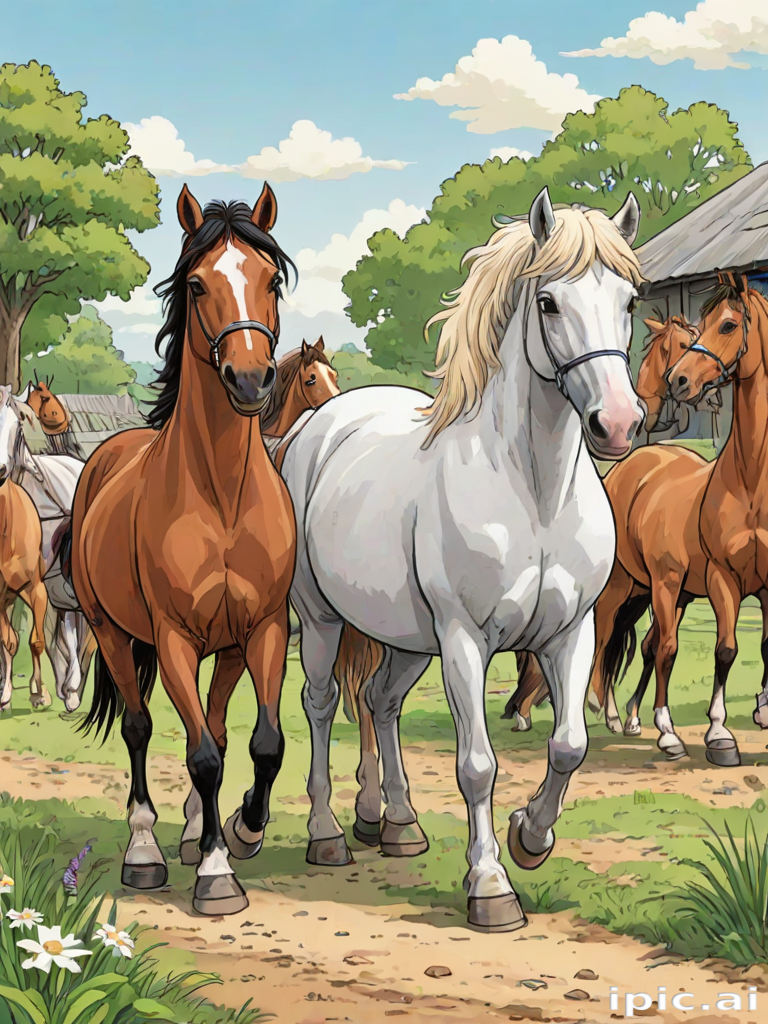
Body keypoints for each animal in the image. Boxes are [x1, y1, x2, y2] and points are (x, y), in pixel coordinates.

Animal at [0, 389, 95, 712]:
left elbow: (38, 639)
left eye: (18, 423)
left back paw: (73, 687)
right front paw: (7, 692)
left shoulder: (39, 585)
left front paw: (42, 691)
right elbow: (10, 640)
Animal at [72, 183, 297, 917]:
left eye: (270, 279)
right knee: (140, 727)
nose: (250, 379)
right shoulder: (169, 637)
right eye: (197, 284)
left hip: (222, 648)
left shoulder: (262, 630)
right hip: (111, 632)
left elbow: (261, 743)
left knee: (218, 727)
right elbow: (199, 756)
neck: (222, 495)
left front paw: (241, 832)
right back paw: (145, 851)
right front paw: (217, 878)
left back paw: (199, 832)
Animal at [263, 189, 645, 932]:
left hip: (409, 639)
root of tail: (318, 424)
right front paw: (491, 886)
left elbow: (569, 744)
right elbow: (477, 765)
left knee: (381, 702)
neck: (534, 494)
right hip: (322, 620)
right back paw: (328, 835)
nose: (617, 424)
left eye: (629, 301)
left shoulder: (570, 633)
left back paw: (398, 824)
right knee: (321, 704)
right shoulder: (465, 641)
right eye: (548, 303)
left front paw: (530, 838)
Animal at [583, 274, 768, 765]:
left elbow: (762, 646)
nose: (680, 380)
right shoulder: (723, 580)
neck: (751, 482)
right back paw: (614, 714)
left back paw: (630, 717)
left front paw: (762, 712)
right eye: (696, 329)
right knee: (615, 639)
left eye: (727, 324)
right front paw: (717, 735)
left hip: (670, 591)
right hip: (632, 587)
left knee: (648, 645)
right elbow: (725, 649)